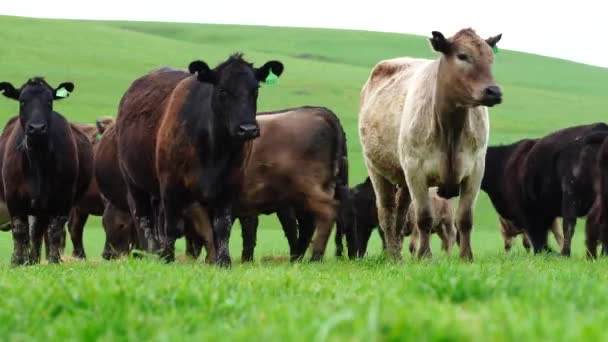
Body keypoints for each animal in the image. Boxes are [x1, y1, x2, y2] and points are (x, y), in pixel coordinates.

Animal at [0, 79, 92, 266]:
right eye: (22, 101)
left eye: (49, 102)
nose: (36, 128)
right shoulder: (13, 196)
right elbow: (19, 230)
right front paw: (17, 262)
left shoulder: (64, 199)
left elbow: (55, 231)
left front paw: (54, 261)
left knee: (39, 233)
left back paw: (34, 260)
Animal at [117, 54, 284, 266]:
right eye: (222, 90)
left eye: (255, 90)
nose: (248, 129)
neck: (215, 151)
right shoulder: (170, 184)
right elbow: (172, 226)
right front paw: (168, 259)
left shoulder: (229, 187)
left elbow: (222, 227)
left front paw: (223, 261)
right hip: (133, 182)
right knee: (144, 219)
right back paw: (151, 253)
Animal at [358, 28, 502, 260]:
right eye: (462, 56)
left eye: (491, 58)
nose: (494, 92)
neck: (451, 128)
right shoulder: (416, 171)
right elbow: (424, 217)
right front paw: (424, 255)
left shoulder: (475, 171)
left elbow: (465, 218)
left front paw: (466, 257)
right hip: (377, 170)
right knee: (387, 213)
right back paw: (392, 256)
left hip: (404, 179)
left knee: (400, 214)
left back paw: (398, 254)